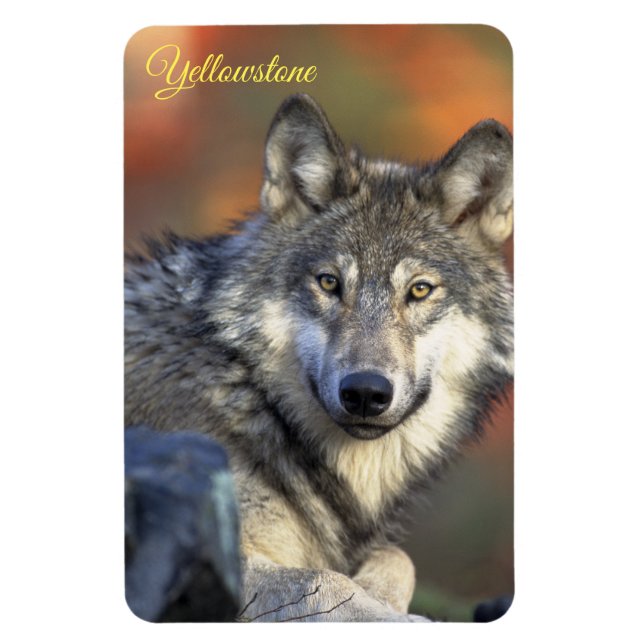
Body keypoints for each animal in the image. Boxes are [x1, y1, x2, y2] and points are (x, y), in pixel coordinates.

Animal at [124, 93, 513, 622]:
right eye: (329, 282)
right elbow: (323, 582)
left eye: (419, 290)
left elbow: (398, 557)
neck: (248, 393)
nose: (366, 393)